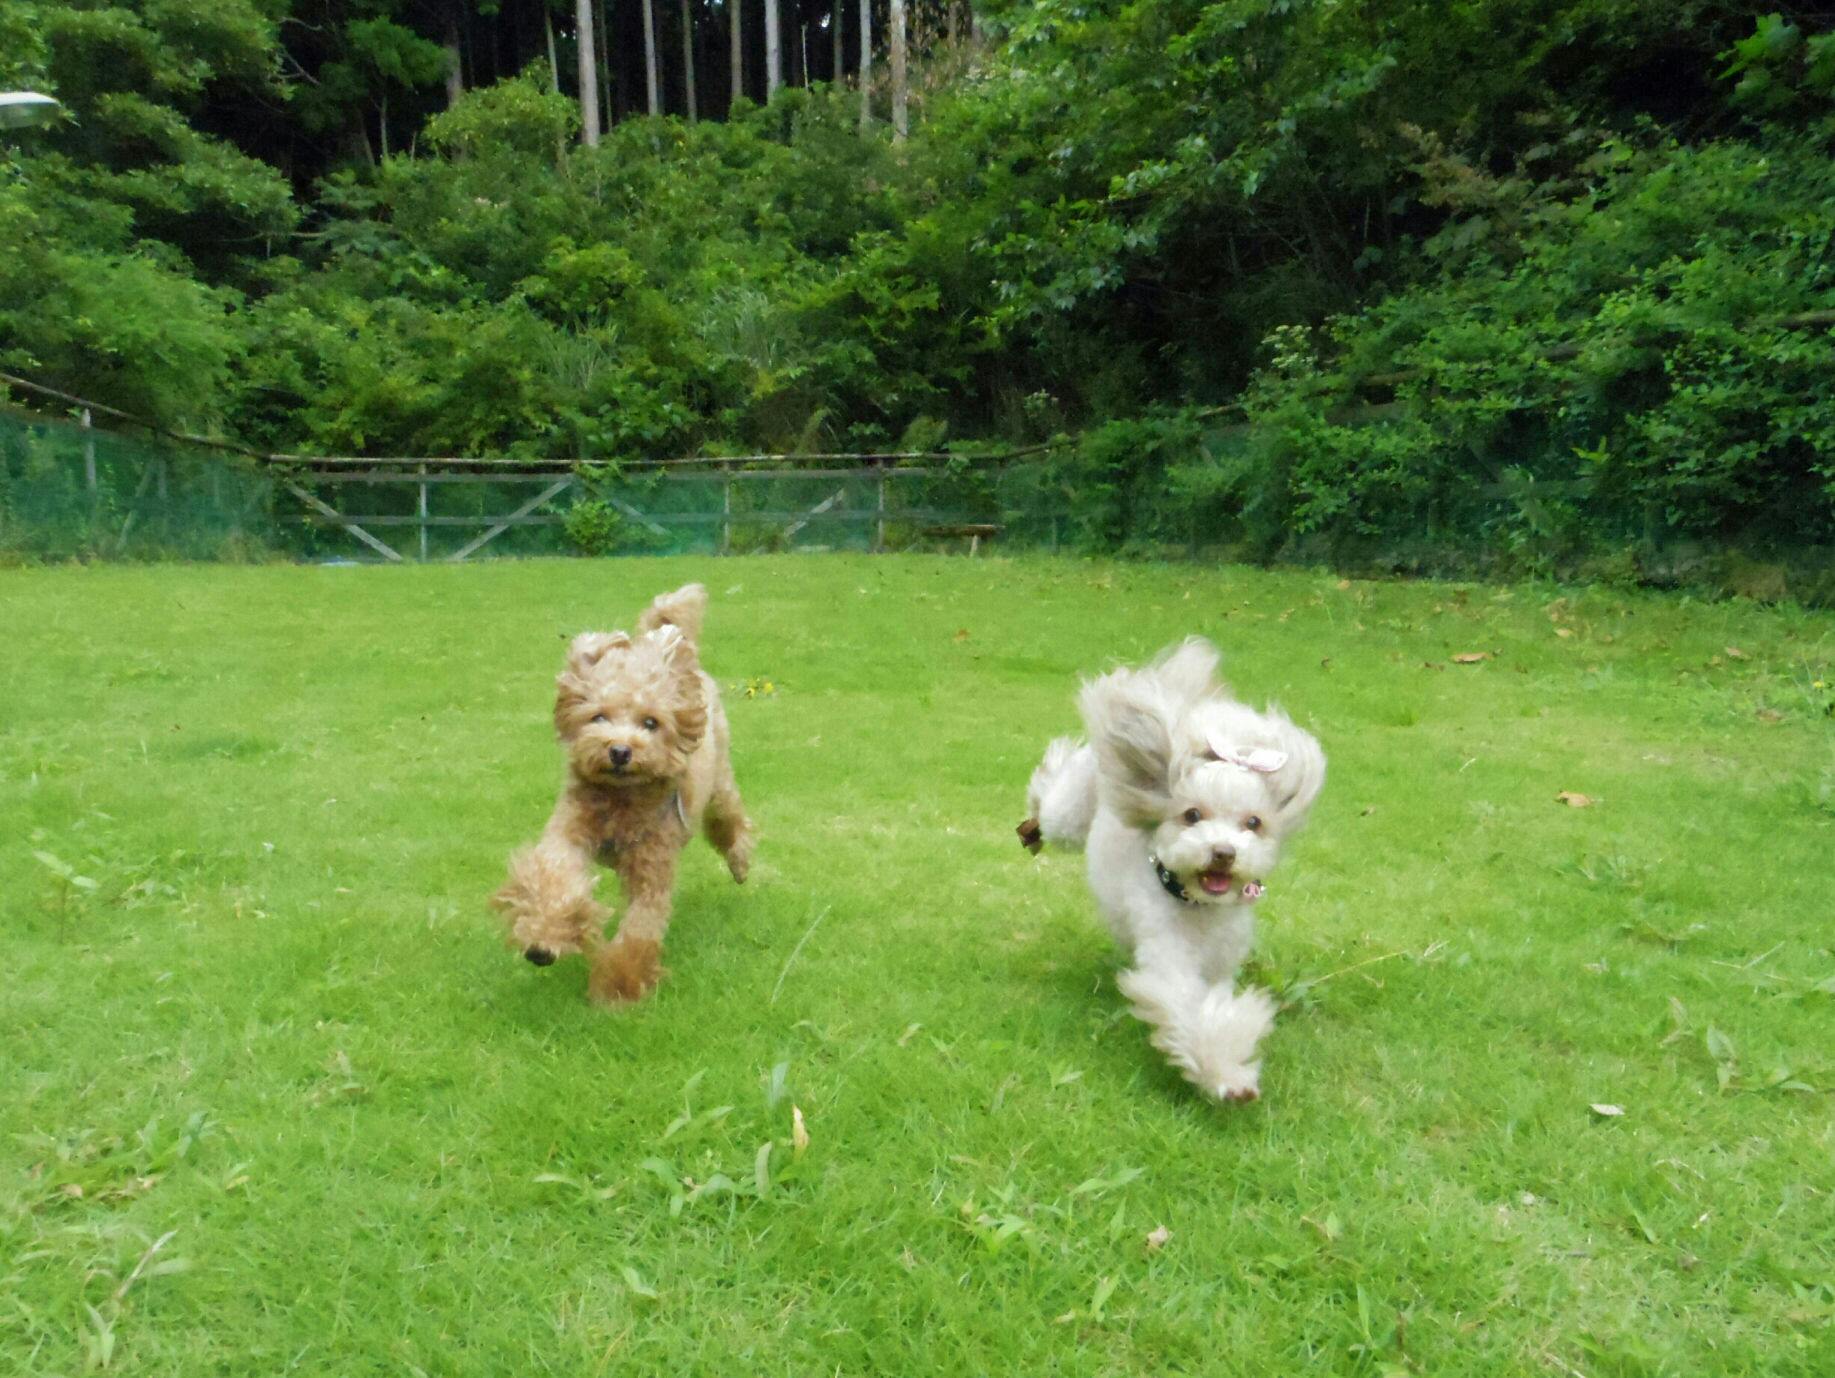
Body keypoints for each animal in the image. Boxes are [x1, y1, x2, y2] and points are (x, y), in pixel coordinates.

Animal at [491, 583, 754, 1004]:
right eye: (598, 716)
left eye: (651, 723)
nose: (619, 751)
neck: (621, 800)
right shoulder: (569, 832)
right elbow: (555, 878)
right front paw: (543, 941)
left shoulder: (652, 867)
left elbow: (639, 927)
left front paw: (617, 989)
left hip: (719, 781)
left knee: (729, 820)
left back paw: (740, 864)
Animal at [1021, 639, 1325, 1102]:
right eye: (1192, 815)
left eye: (1254, 823)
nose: (1223, 853)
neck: (1196, 907)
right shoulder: (1169, 957)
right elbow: (1188, 1011)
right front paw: (1223, 1075)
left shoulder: (1221, 966)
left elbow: (1217, 1008)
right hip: (1069, 816)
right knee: (1051, 793)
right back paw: (1035, 816)